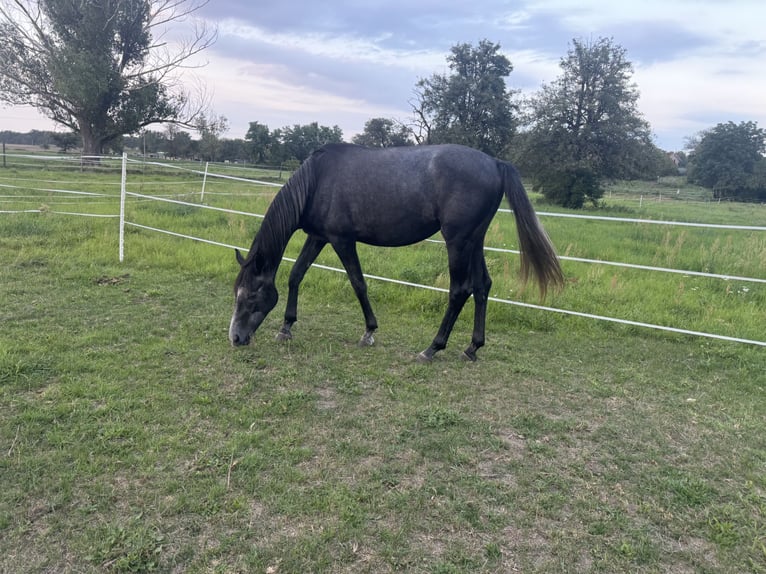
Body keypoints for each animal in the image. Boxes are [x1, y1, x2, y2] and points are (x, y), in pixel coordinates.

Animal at [228, 142, 564, 362]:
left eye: (251, 296)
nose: (235, 338)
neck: (317, 181)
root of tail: (495, 163)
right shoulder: (318, 237)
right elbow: (296, 275)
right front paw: (286, 327)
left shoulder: (341, 240)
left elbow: (358, 283)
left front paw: (369, 332)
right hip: (474, 240)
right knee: (482, 286)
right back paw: (472, 348)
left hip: (457, 242)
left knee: (460, 290)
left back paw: (432, 348)